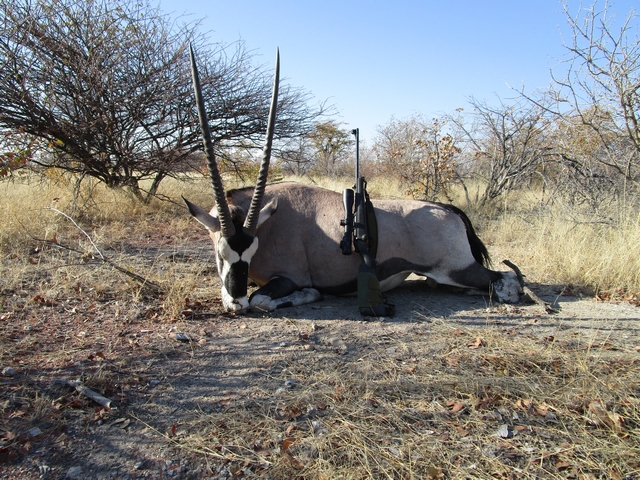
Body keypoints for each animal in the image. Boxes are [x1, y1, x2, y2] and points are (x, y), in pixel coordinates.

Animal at [184, 47, 523, 314]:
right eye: (220, 254)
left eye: (249, 251)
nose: (236, 304)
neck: (271, 223)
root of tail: (449, 210)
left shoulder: (288, 278)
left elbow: (265, 299)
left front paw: (308, 294)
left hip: (457, 269)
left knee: (505, 283)